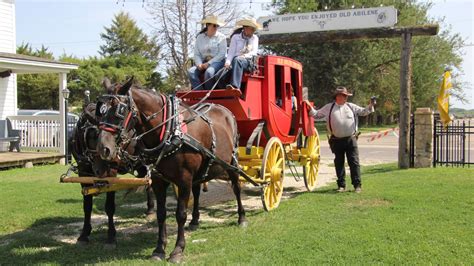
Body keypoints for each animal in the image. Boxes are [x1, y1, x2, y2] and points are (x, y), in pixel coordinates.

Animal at [69, 94, 155, 248]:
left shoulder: (111, 173)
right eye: (91, 136)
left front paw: (111, 236)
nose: (99, 170)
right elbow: (87, 206)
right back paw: (150, 209)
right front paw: (84, 234)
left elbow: (109, 206)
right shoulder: (83, 172)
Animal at [95, 78, 246, 262]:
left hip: (231, 162)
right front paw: (159, 249)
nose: (103, 148)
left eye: (119, 110)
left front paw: (177, 250)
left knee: (236, 187)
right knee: (197, 191)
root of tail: (223, 108)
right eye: (100, 110)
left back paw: (242, 217)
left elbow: (180, 214)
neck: (169, 131)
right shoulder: (158, 181)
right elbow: (161, 214)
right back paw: (195, 221)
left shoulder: (184, 180)